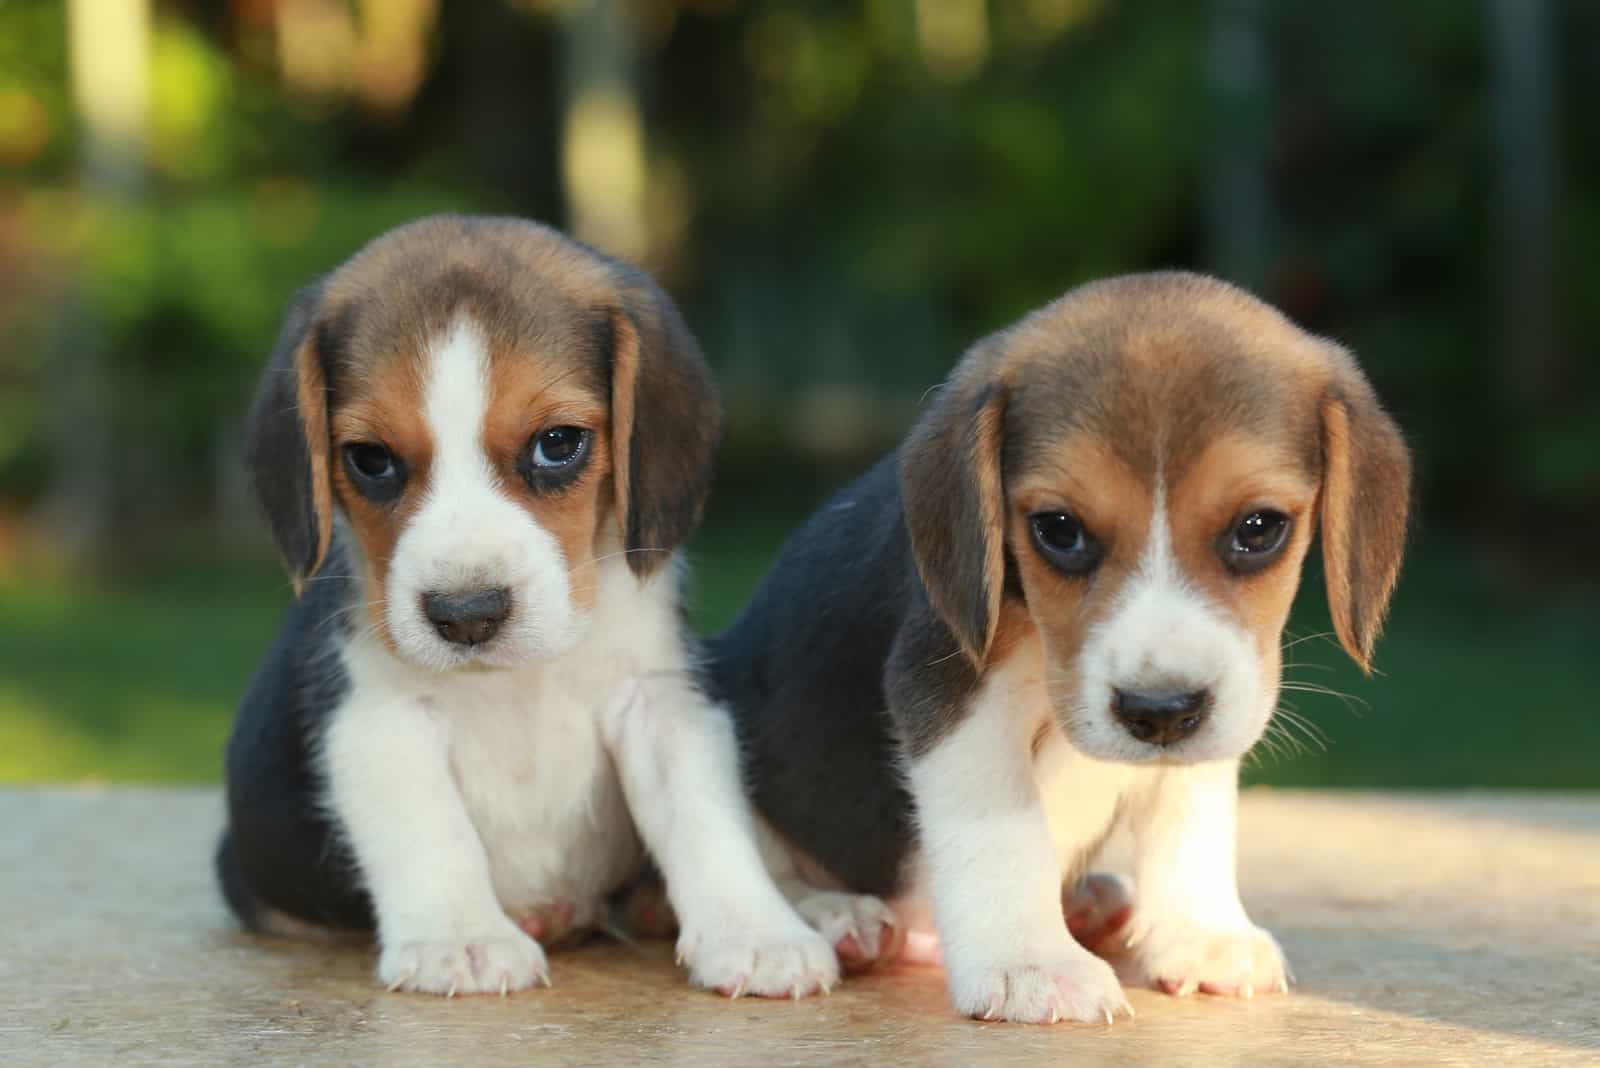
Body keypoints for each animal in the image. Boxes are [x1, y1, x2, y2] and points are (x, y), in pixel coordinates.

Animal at [219, 217, 844, 1004]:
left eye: (558, 444)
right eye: (370, 459)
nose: (467, 614)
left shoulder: (662, 702)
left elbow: (706, 819)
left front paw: (757, 933)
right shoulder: (375, 719)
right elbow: (430, 827)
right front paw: (460, 937)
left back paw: (829, 908)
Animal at [707, 271, 1408, 1023]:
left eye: (1259, 527)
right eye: (1059, 529)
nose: (1160, 712)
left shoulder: (1228, 692)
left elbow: (1191, 813)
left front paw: (1203, 933)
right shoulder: (950, 696)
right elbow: (1003, 827)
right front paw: (1030, 962)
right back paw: (837, 918)